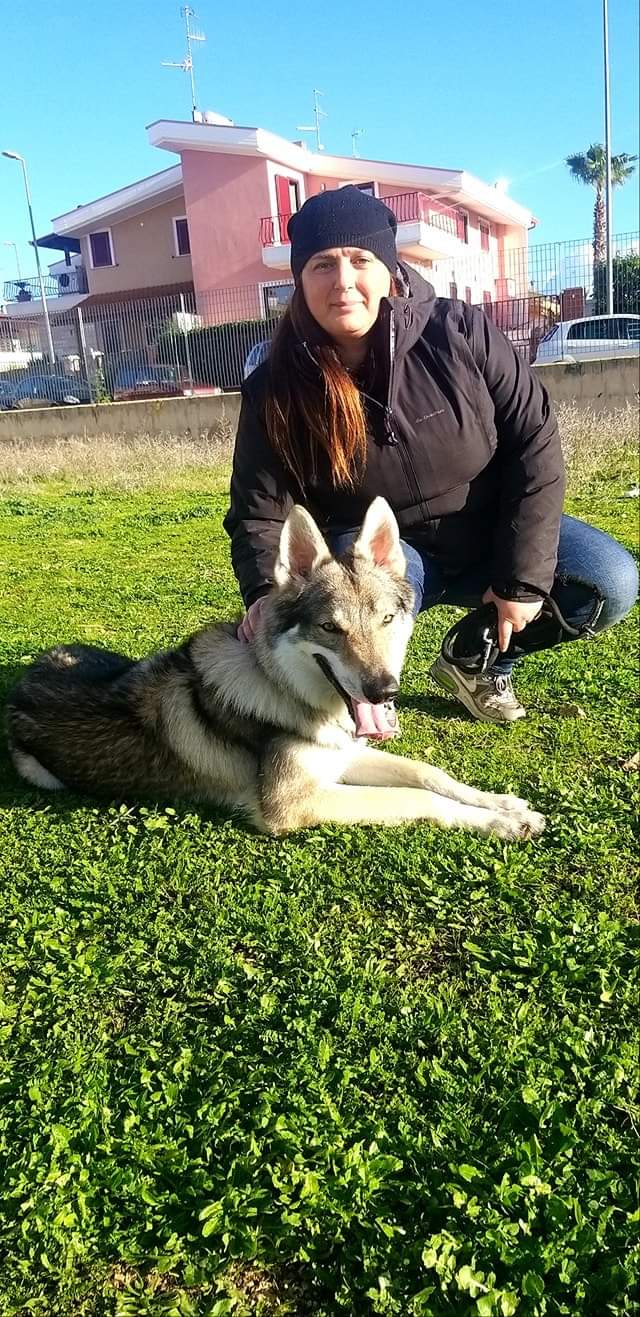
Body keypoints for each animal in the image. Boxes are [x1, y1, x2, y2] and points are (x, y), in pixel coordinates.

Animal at [6, 498, 545, 839]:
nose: (384, 692)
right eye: (330, 628)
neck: (291, 695)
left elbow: (430, 774)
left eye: (387, 620)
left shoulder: (343, 757)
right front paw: (500, 823)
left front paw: (503, 804)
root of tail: (23, 679)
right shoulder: (293, 803)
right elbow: (417, 799)